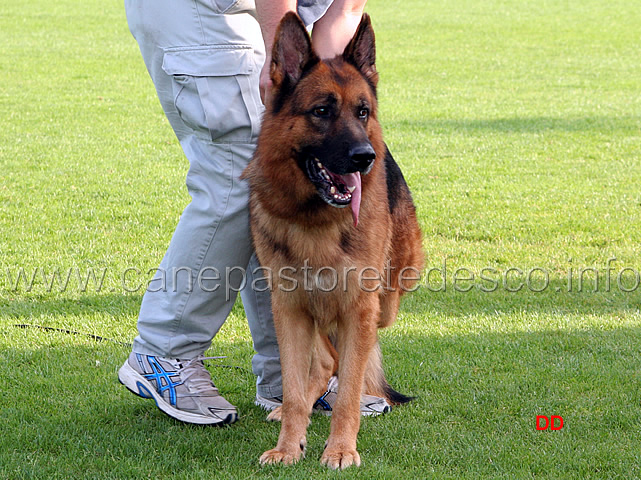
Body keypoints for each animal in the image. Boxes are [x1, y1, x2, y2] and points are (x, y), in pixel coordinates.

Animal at [242, 12, 422, 472]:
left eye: (362, 112)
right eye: (321, 111)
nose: (364, 158)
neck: (315, 220)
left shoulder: (359, 308)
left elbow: (349, 391)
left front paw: (341, 449)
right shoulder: (289, 308)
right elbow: (295, 384)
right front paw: (289, 446)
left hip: (386, 300)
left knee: (345, 357)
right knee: (325, 359)